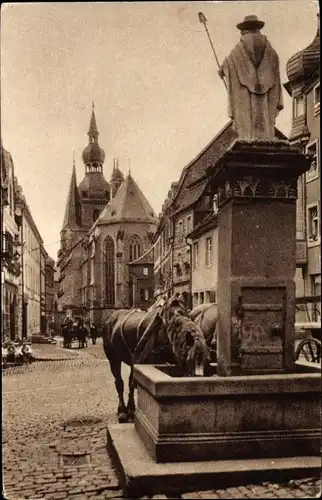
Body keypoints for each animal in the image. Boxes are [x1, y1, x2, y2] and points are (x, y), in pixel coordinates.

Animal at [102, 294, 210, 424]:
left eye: (207, 360)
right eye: (190, 359)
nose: (199, 379)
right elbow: (133, 383)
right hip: (114, 359)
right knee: (119, 382)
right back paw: (122, 411)